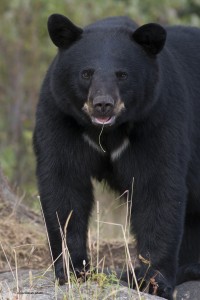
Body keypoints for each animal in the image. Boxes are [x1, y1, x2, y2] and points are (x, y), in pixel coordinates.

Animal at [33, 14, 200, 300]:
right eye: (86, 73)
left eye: (122, 75)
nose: (103, 104)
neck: (107, 131)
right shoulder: (60, 116)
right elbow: (63, 186)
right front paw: (72, 270)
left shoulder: (158, 116)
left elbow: (158, 189)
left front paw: (151, 280)